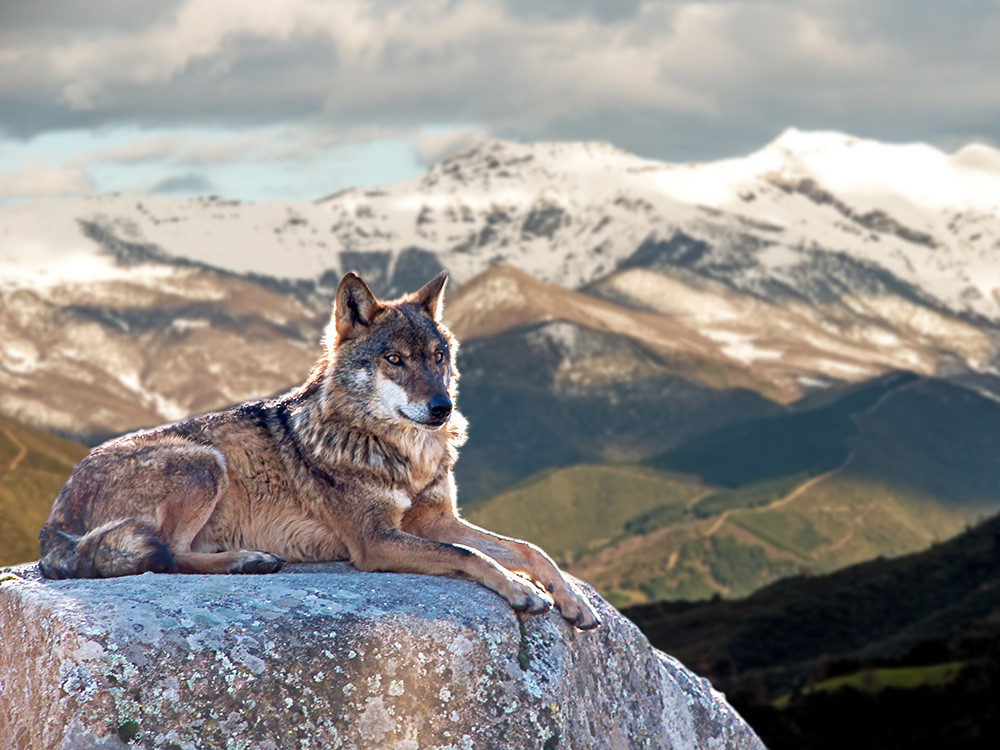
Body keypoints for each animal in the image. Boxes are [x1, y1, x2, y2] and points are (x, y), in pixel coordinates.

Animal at [37, 270, 600, 628]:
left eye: (438, 357)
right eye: (395, 360)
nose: (442, 408)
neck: (402, 455)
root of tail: (53, 517)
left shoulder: (436, 520)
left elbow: (527, 549)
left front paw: (572, 601)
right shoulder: (376, 542)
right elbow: (470, 555)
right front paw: (522, 590)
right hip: (203, 462)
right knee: (168, 555)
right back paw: (247, 561)